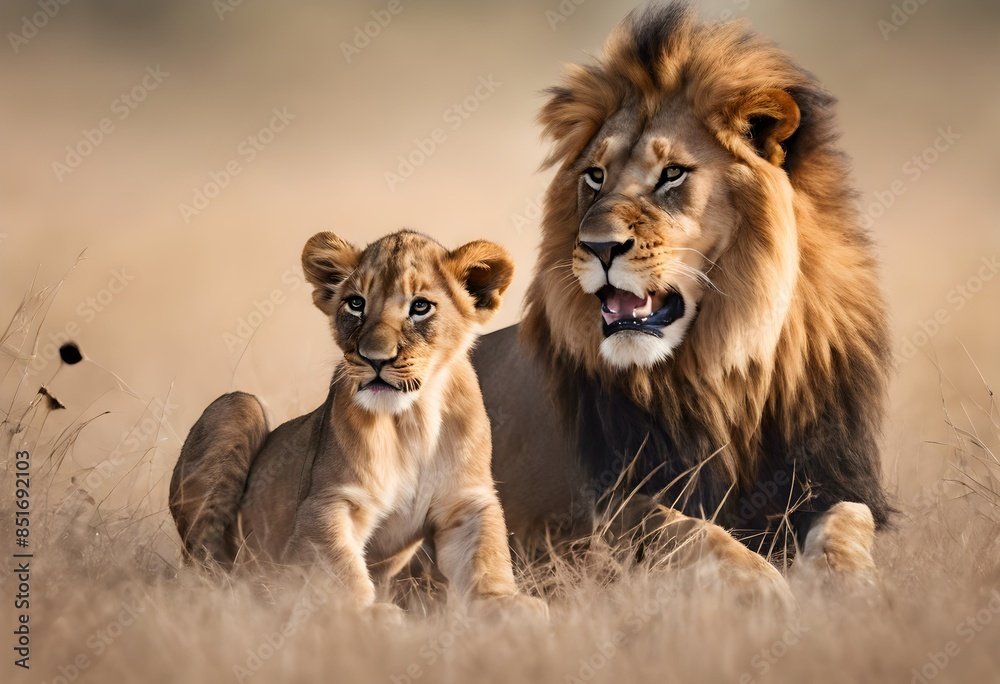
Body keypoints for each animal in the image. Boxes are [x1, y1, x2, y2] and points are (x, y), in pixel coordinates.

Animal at [169, 229, 545, 615]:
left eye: (420, 307)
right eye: (355, 303)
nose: (374, 358)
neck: (411, 421)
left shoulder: (467, 503)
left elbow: (487, 553)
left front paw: (506, 604)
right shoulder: (329, 501)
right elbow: (339, 564)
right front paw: (363, 613)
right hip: (237, 404)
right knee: (201, 567)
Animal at [473, 2, 892, 586]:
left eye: (672, 174)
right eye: (594, 176)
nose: (598, 246)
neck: (725, 366)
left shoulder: (831, 480)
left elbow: (847, 522)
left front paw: (848, 585)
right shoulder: (602, 511)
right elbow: (687, 531)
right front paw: (762, 586)